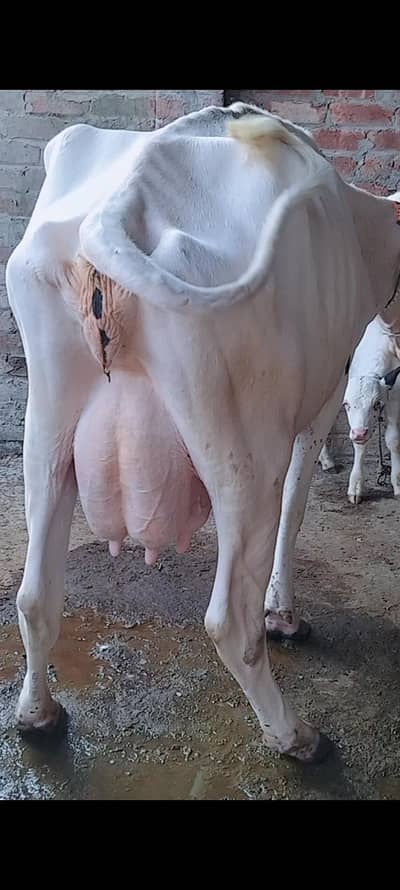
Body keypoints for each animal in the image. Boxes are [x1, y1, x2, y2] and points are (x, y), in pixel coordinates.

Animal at [6, 102, 400, 764]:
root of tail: (121, 206)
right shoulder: (322, 397)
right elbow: (298, 502)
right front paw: (283, 614)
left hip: (48, 424)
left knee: (35, 594)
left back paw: (37, 715)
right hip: (241, 450)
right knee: (230, 618)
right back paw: (294, 735)